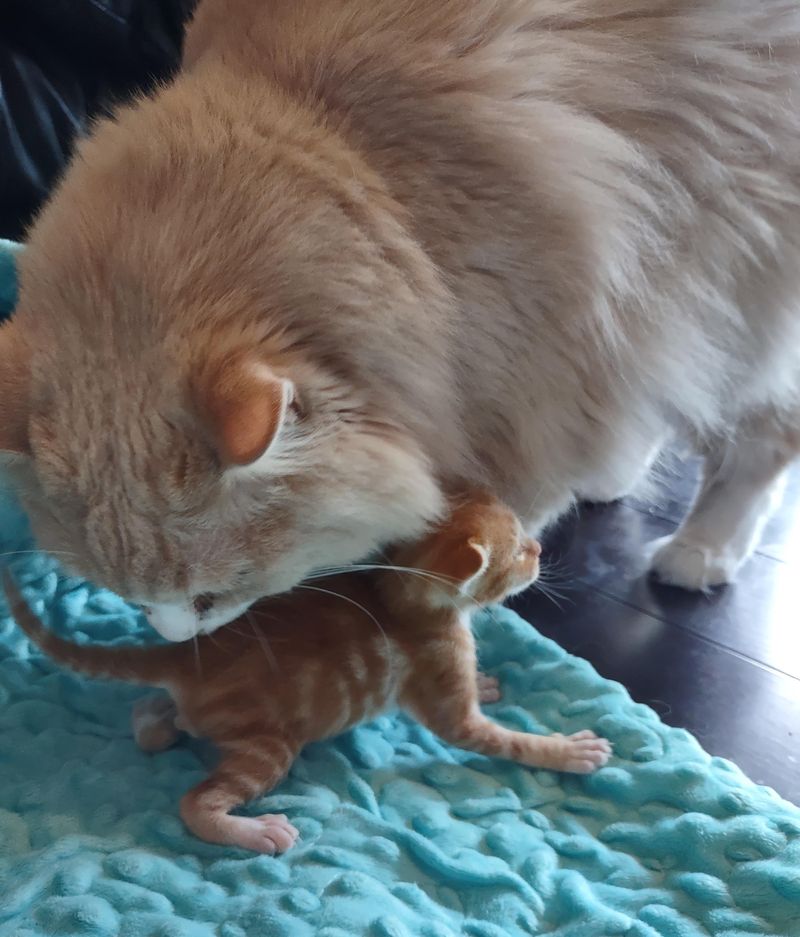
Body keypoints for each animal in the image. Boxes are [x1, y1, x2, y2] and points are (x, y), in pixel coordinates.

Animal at [1, 0, 800, 640]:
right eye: (124, 596)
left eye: (214, 593)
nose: (171, 637)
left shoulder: (561, 344)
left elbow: (519, 496)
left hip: (747, 261)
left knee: (758, 440)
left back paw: (701, 552)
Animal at [6, 498, 608, 856]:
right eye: (519, 550)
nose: (540, 549)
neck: (405, 596)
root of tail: (189, 657)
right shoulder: (452, 708)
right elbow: (505, 740)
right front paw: (570, 751)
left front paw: (484, 683)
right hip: (270, 743)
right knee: (195, 801)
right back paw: (252, 830)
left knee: (152, 714)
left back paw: (157, 722)